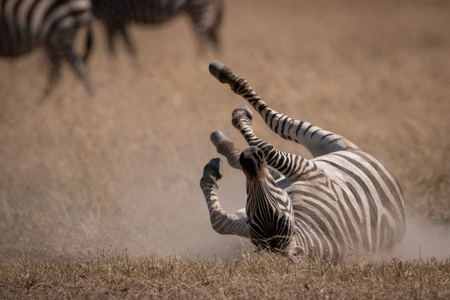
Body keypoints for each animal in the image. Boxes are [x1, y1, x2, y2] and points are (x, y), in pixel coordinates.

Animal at [92, 0, 225, 56]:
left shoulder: (117, 14)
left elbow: (129, 47)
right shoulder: (108, 21)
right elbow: (111, 50)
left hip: (196, 7)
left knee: (204, 37)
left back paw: (200, 63)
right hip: (193, 10)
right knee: (210, 34)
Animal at [200, 61, 408, 260]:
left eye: (284, 218)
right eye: (254, 220)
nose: (250, 158)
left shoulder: (311, 173)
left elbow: (268, 150)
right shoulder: (245, 222)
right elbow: (218, 221)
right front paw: (211, 173)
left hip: (327, 147)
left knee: (275, 122)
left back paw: (233, 99)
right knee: (272, 140)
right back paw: (226, 145)